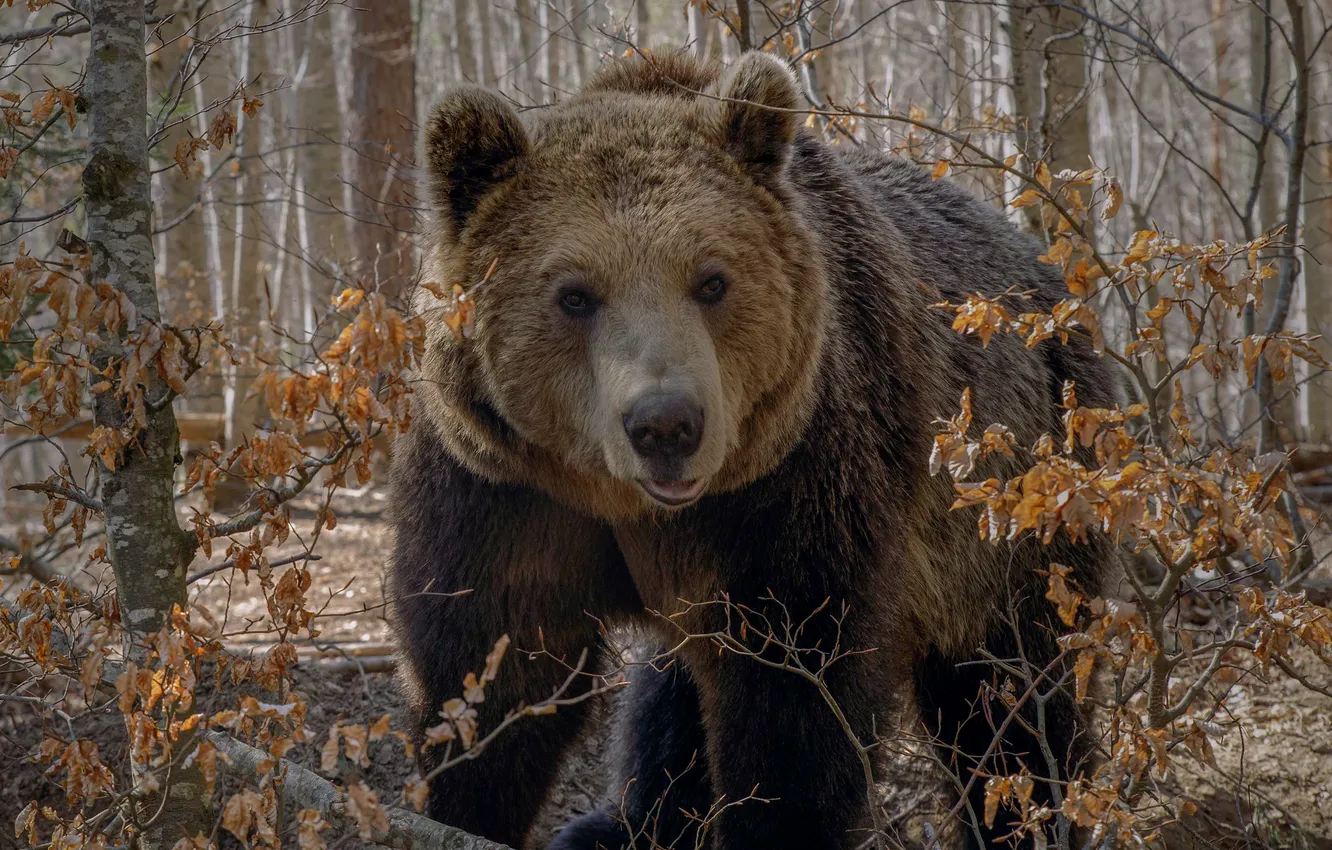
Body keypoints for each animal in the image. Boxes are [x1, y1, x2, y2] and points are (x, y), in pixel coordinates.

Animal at [388, 50, 1115, 850]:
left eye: (711, 280)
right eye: (574, 294)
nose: (667, 424)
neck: (627, 504)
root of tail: (1048, 271)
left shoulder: (790, 489)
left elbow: (789, 702)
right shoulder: (505, 492)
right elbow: (489, 674)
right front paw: (458, 803)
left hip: (1019, 503)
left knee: (1006, 705)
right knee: (671, 698)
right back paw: (620, 824)